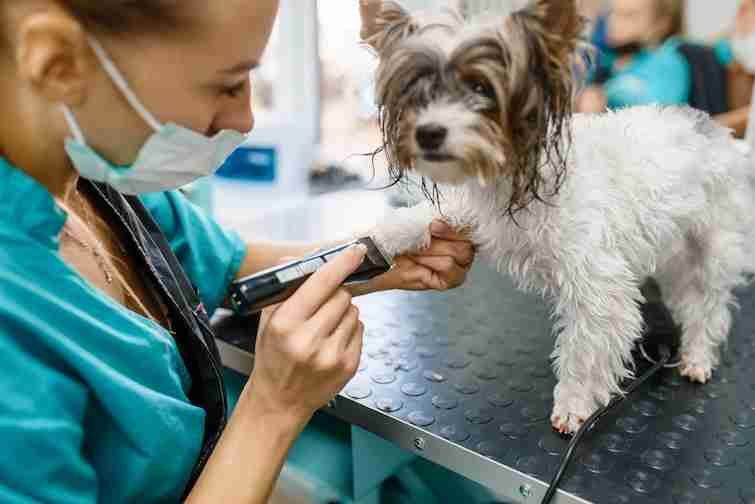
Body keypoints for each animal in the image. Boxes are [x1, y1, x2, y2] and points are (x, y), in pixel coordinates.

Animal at [364, 0, 752, 434]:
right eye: (419, 90)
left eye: (481, 88)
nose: (428, 133)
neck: (515, 184)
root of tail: (718, 133)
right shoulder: (480, 209)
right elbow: (444, 208)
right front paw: (394, 232)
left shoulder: (598, 289)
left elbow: (584, 353)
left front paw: (574, 403)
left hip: (712, 251)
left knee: (708, 309)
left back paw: (698, 357)